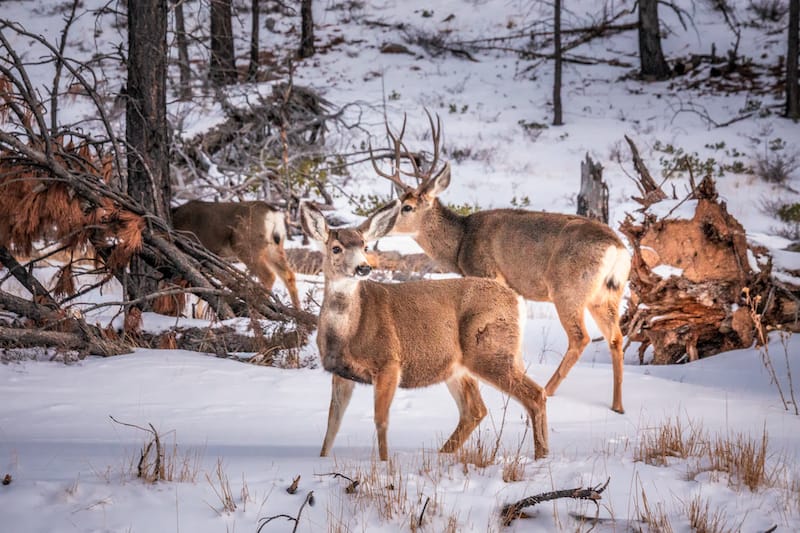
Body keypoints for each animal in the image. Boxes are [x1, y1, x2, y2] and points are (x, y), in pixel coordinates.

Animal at [173, 200, 302, 308]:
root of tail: (273, 213)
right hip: (273, 248)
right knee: (288, 275)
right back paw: (298, 313)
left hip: (245, 244)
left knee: (269, 275)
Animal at [300, 200, 552, 462]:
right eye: (336, 248)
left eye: (365, 245)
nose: (363, 267)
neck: (348, 334)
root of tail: (516, 301)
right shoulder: (341, 372)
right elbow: (333, 423)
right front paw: (322, 458)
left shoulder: (389, 362)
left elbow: (381, 420)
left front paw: (385, 462)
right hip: (459, 367)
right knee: (475, 410)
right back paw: (445, 454)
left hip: (489, 350)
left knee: (534, 394)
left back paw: (541, 456)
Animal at [370, 114, 632, 414]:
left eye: (407, 207)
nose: (380, 225)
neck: (461, 241)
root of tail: (618, 248)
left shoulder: (486, 272)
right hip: (607, 294)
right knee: (616, 337)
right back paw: (617, 405)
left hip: (568, 289)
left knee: (581, 337)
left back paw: (549, 390)